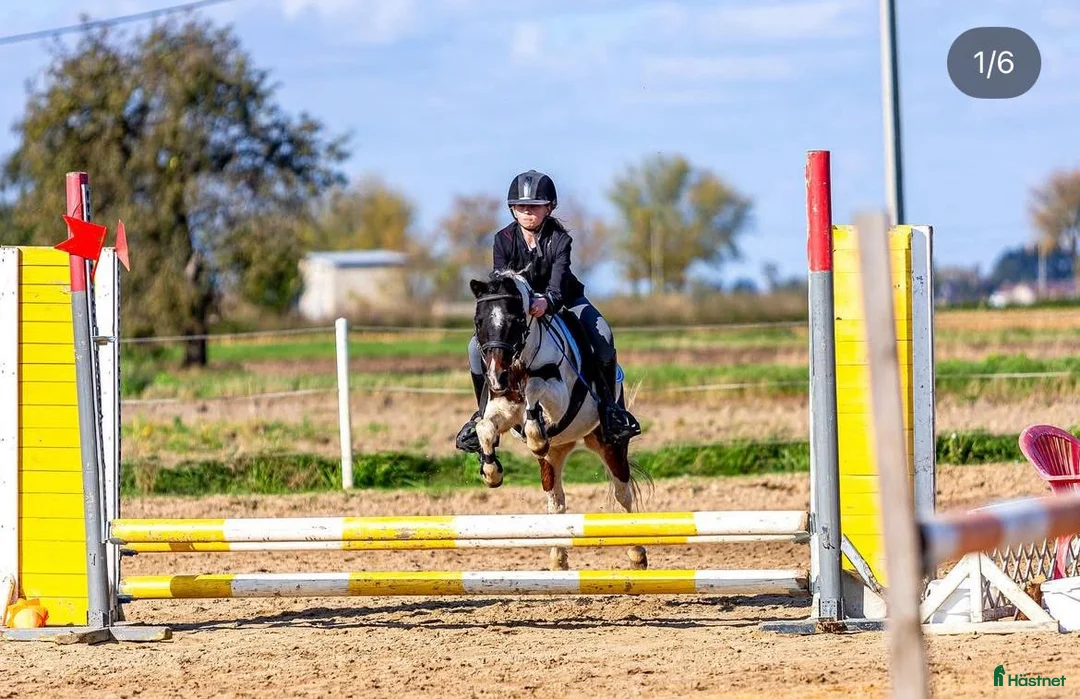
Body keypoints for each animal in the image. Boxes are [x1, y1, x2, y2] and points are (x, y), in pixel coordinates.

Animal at [468, 268, 650, 571]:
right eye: (478, 321)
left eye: (516, 320)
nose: (496, 378)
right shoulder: (503, 408)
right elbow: (485, 427)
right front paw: (491, 471)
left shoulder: (559, 397)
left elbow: (534, 388)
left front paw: (535, 436)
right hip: (555, 455)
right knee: (556, 501)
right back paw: (558, 558)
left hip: (608, 442)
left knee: (622, 492)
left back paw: (637, 553)